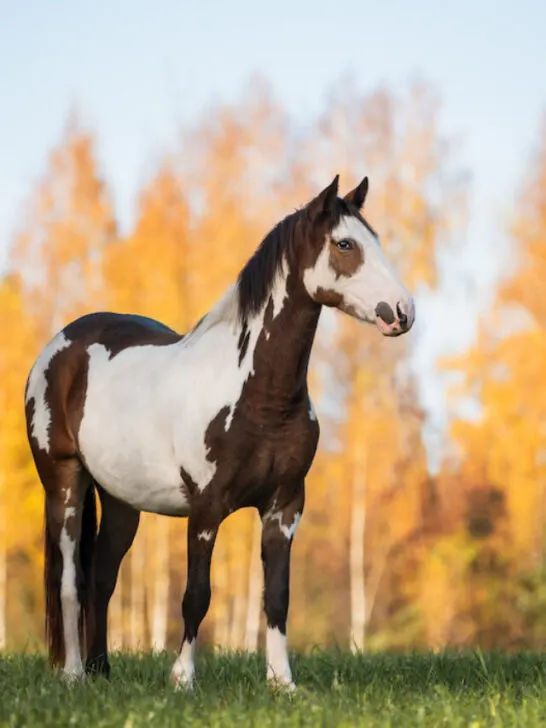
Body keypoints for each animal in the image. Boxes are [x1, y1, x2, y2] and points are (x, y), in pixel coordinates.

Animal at [24, 173, 415, 689]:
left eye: (376, 240)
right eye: (345, 244)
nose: (403, 312)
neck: (255, 391)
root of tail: (60, 346)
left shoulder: (284, 506)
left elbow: (277, 597)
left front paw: (282, 683)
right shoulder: (207, 510)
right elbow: (196, 595)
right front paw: (183, 679)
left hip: (122, 501)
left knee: (102, 578)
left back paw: (101, 671)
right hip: (64, 484)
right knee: (71, 581)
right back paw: (73, 676)